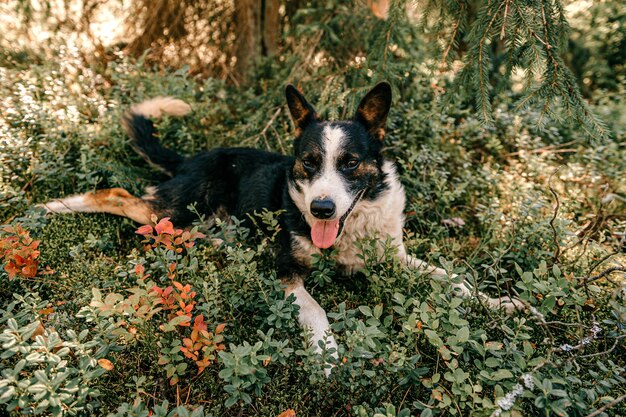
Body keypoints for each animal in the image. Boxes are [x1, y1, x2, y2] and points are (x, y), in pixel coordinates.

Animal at [42, 82, 520, 374]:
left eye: (350, 163)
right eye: (309, 162)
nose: (322, 209)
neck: (349, 230)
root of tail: (192, 158)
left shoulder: (395, 258)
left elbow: (453, 279)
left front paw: (503, 304)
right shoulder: (286, 272)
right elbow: (317, 309)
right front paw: (328, 359)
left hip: (188, 223)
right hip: (176, 211)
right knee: (116, 194)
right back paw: (55, 205)